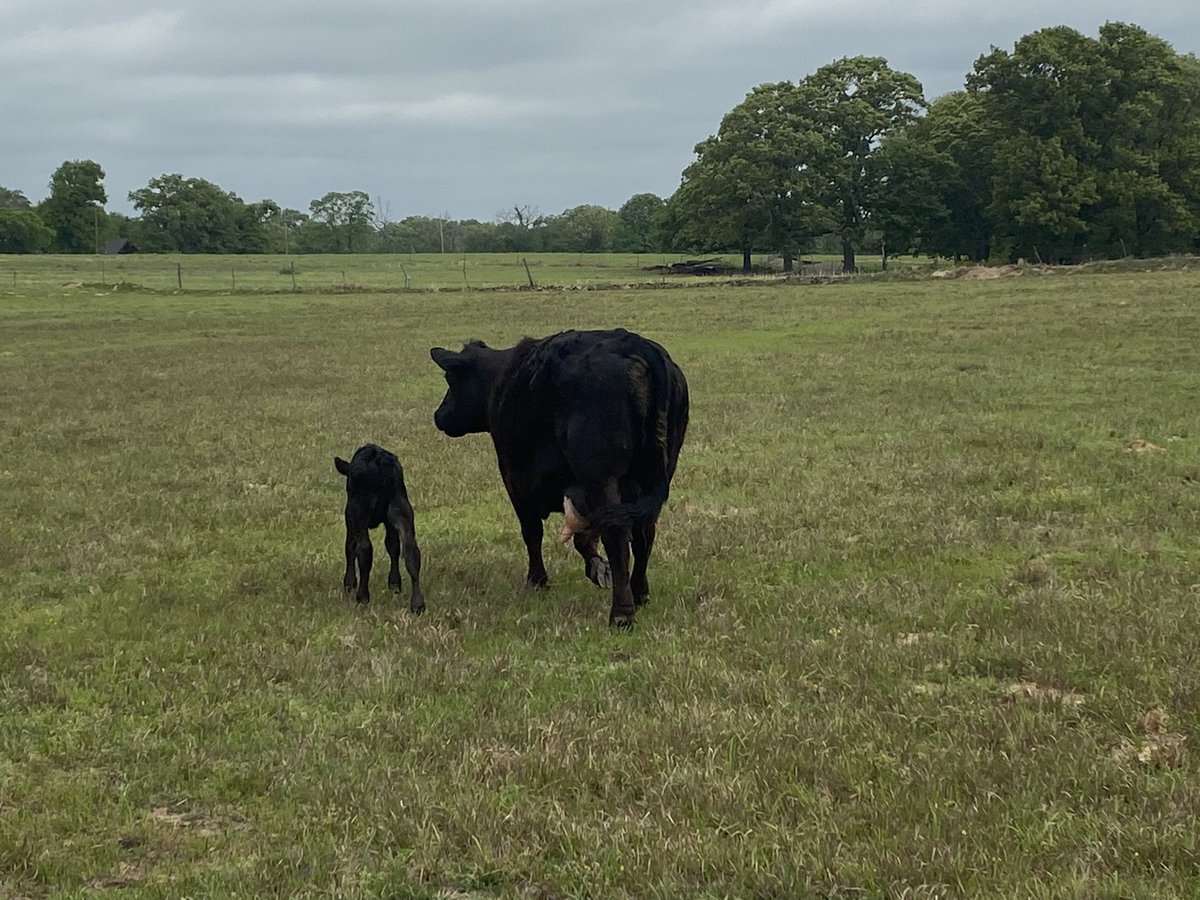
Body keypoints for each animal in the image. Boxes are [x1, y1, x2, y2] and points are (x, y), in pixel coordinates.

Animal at [334, 444, 426, 614]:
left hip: (359, 510)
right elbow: (393, 546)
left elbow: (350, 547)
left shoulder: (350, 517)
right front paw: (394, 584)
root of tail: (379, 460)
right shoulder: (390, 522)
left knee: (364, 548)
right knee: (411, 549)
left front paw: (349, 583)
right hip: (401, 507)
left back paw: (362, 596)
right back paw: (418, 604)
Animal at [430, 328, 688, 627]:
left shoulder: (515, 480)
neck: (500, 379)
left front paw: (537, 580)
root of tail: (634, 343)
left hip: (601, 478)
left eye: (450, 379)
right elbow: (584, 537)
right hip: (653, 474)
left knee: (617, 535)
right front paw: (596, 568)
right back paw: (639, 592)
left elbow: (532, 532)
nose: (439, 415)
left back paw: (621, 614)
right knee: (644, 532)